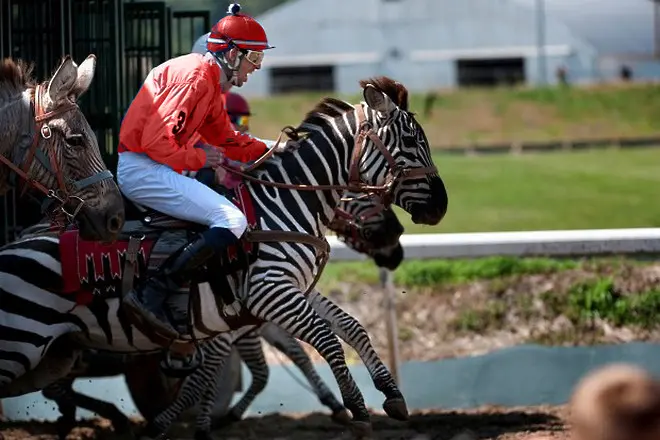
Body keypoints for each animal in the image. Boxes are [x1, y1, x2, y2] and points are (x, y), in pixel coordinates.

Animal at [40, 195, 402, 440]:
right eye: (364, 196)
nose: (397, 245)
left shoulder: (256, 318)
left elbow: (287, 355)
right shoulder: (241, 323)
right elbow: (222, 372)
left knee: (56, 384)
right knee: (55, 383)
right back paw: (99, 416)